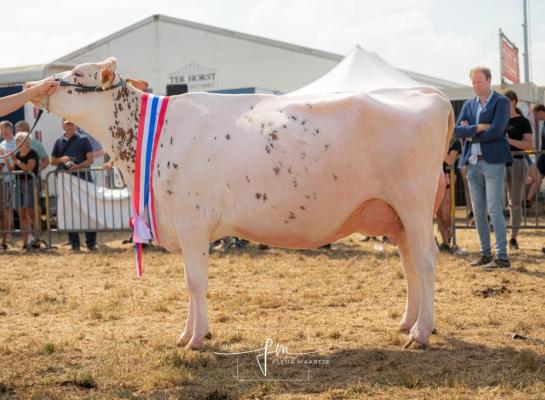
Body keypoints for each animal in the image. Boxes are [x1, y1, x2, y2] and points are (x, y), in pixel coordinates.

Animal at [30, 57, 454, 350]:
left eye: (78, 75)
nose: (38, 84)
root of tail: (428, 94)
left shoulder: (192, 222)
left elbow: (195, 282)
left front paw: (196, 339)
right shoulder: (183, 227)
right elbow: (190, 284)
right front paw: (188, 333)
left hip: (414, 204)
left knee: (426, 261)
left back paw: (421, 333)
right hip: (396, 214)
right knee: (409, 262)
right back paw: (410, 322)